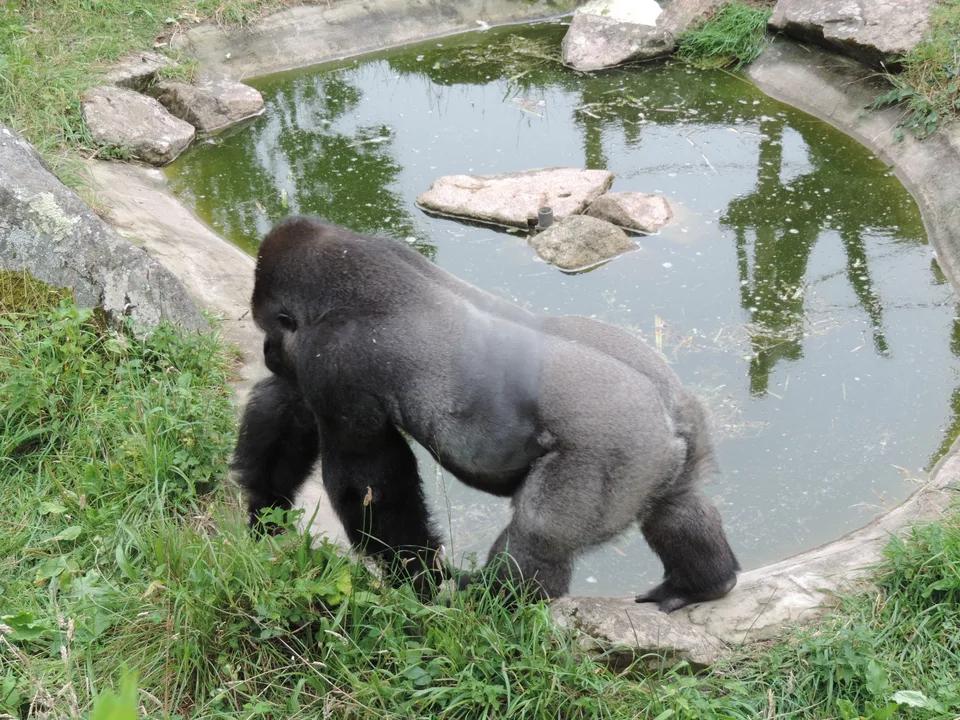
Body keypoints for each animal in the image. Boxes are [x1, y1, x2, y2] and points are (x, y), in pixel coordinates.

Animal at [230, 216, 740, 612]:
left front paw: (416, 577)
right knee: (676, 507)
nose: (268, 352)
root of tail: (669, 408)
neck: (346, 271)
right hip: (672, 444)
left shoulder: (332, 358)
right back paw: (702, 583)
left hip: (611, 447)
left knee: (539, 533)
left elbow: (370, 479)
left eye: (268, 328)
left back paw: (496, 607)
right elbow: (289, 415)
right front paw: (264, 511)